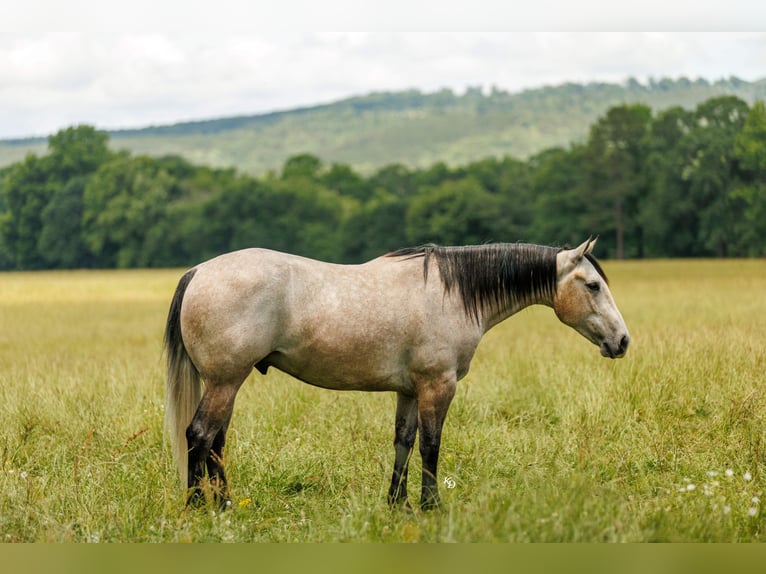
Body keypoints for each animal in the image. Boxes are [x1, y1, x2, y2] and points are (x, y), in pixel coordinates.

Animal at [163, 237, 629, 510]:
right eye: (593, 285)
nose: (622, 341)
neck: (452, 293)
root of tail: (199, 271)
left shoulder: (409, 390)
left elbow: (403, 443)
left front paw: (395, 503)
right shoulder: (438, 385)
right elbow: (431, 445)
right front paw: (431, 506)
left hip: (227, 382)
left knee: (217, 441)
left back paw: (225, 504)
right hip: (225, 381)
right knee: (200, 435)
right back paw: (198, 507)